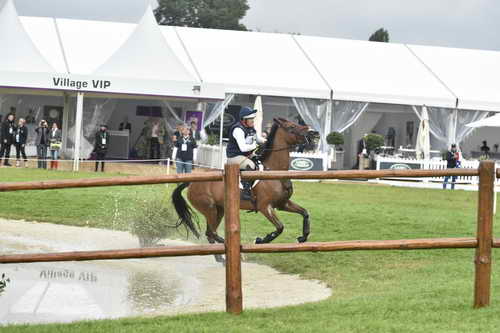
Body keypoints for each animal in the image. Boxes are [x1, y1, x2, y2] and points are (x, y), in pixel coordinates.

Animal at [172, 116, 318, 260]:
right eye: (292, 127)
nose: (314, 133)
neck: (275, 172)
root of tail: (192, 182)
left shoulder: (283, 204)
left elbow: (305, 213)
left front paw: (303, 237)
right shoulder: (265, 207)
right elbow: (280, 227)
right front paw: (260, 240)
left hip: (219, 209)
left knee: (210, 233)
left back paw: (222, 256)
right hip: (210, 209)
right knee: (212, 233)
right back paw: (234, 253)